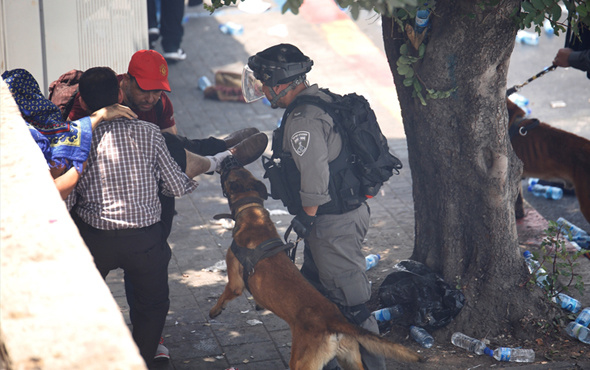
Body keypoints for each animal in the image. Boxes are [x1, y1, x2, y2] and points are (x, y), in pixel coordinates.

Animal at [210, 167, 424, 370]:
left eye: (227, 173)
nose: (226, 162)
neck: (251, 212)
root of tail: (334, 319)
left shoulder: (235, 282)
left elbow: (226, 293)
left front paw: (215, 310)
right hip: (351, 359)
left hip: (301, 364)